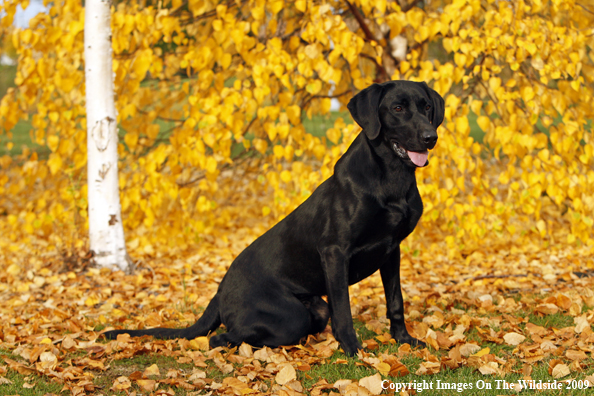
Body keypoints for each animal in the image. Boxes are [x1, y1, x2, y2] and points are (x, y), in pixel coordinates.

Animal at [103, 80, 444, 356]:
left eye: (426, 107)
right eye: (397, 108)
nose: (431, 137)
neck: (392, 178)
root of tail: (219, 292)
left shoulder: (392, 249)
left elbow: (396, 301)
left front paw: (404, 340)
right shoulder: (335, 252)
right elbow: (344, 311)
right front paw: (352, 350)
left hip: (315, 308)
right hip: (289, 315)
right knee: (221, 338)